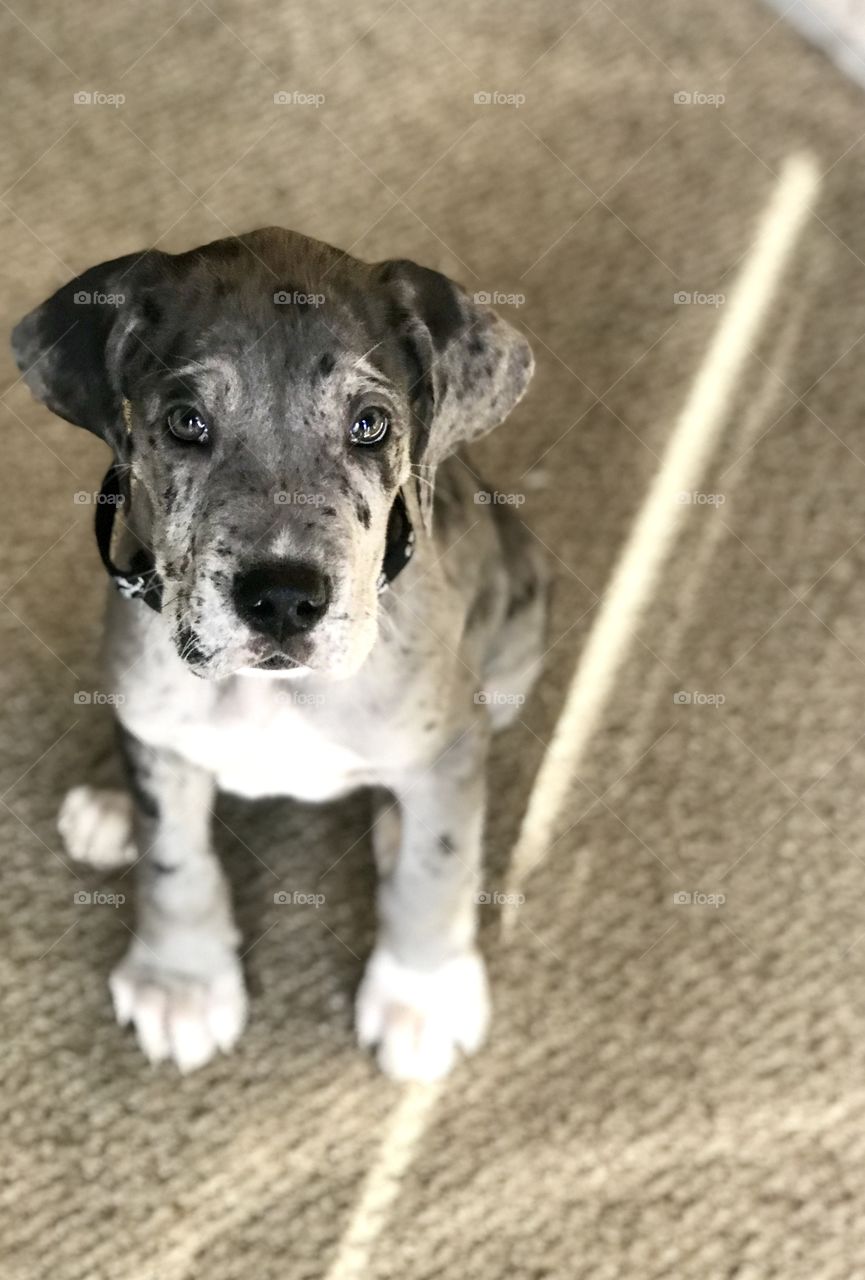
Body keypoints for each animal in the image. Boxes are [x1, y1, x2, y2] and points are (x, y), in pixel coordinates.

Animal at [10, 232, 545, 1080]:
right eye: (186, 421)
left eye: (370, 425)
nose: (284, 600)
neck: (274, 693)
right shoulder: (159, 731)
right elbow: (173, 857)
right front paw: (181, 980)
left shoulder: (448, 739)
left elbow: (436, 865)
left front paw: (419, 995)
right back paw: (110, 805)